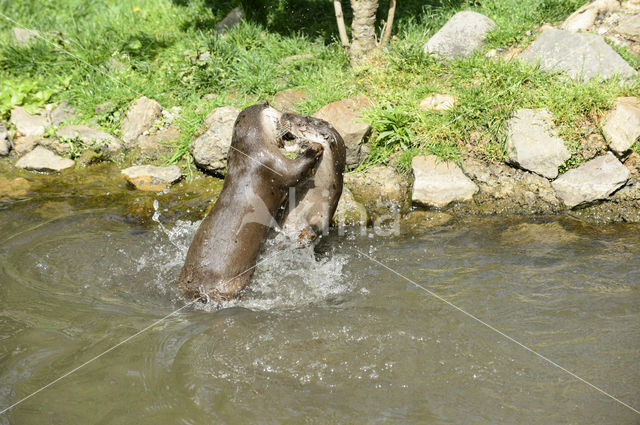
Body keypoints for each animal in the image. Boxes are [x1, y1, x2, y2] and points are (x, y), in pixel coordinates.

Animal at [178, 102, 322, 302]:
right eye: (280, 114)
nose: (286, 114)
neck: (250, 149)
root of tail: (198, 290)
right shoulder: (271, 161)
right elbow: (294, 172)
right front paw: (315, 148)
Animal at [276, 112, 344, 245]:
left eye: (299, 123)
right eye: (303, 114)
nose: (285, 114)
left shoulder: (325, 213)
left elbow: (317, 227)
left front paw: (305, 235)